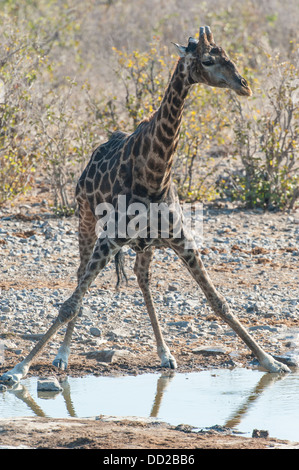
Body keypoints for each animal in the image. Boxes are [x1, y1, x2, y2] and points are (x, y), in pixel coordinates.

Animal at [0, 26, 290, 386]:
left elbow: (218, 301)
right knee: (80, 280)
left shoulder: (182, 239)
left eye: (228, 56)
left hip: (145, 244)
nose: (244, 85)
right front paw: (18, 369)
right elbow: (69, 304)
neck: (155, 174)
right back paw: (62, 355)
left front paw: (270, 361)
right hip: (85, 221)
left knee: (141, 279)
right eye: (208, 60)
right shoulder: (111, 236)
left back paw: (165, 354)